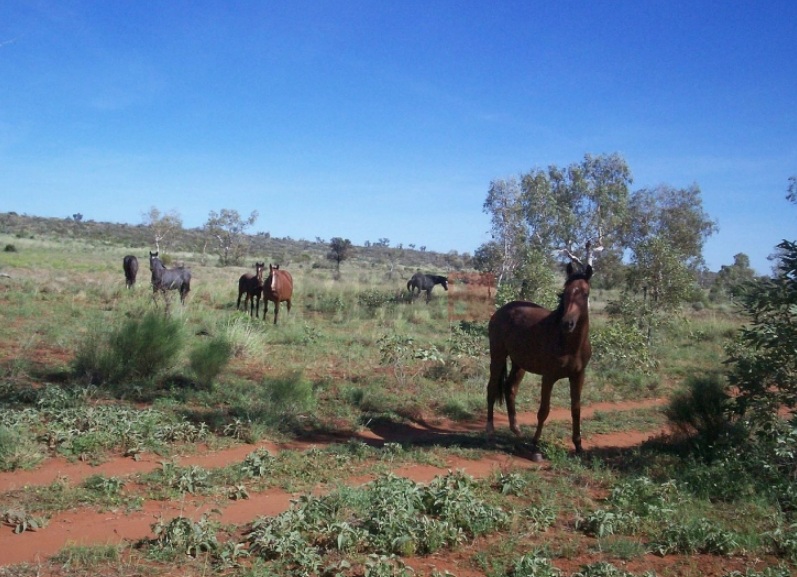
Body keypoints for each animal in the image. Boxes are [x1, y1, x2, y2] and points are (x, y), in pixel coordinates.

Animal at [486, 260, 592, 454]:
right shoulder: (549, 377)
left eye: (585, 293)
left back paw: (516, 429)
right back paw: (489, 429)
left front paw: (578, 446)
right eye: (565, 292)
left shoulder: (578, 376)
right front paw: (535, 444)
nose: (567, 323)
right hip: (498, 356)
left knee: (510, 388)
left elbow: (576, 409)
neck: (569, 344)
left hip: (519, 363)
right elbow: (544, 410)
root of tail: (501, 311)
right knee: (491, 388)